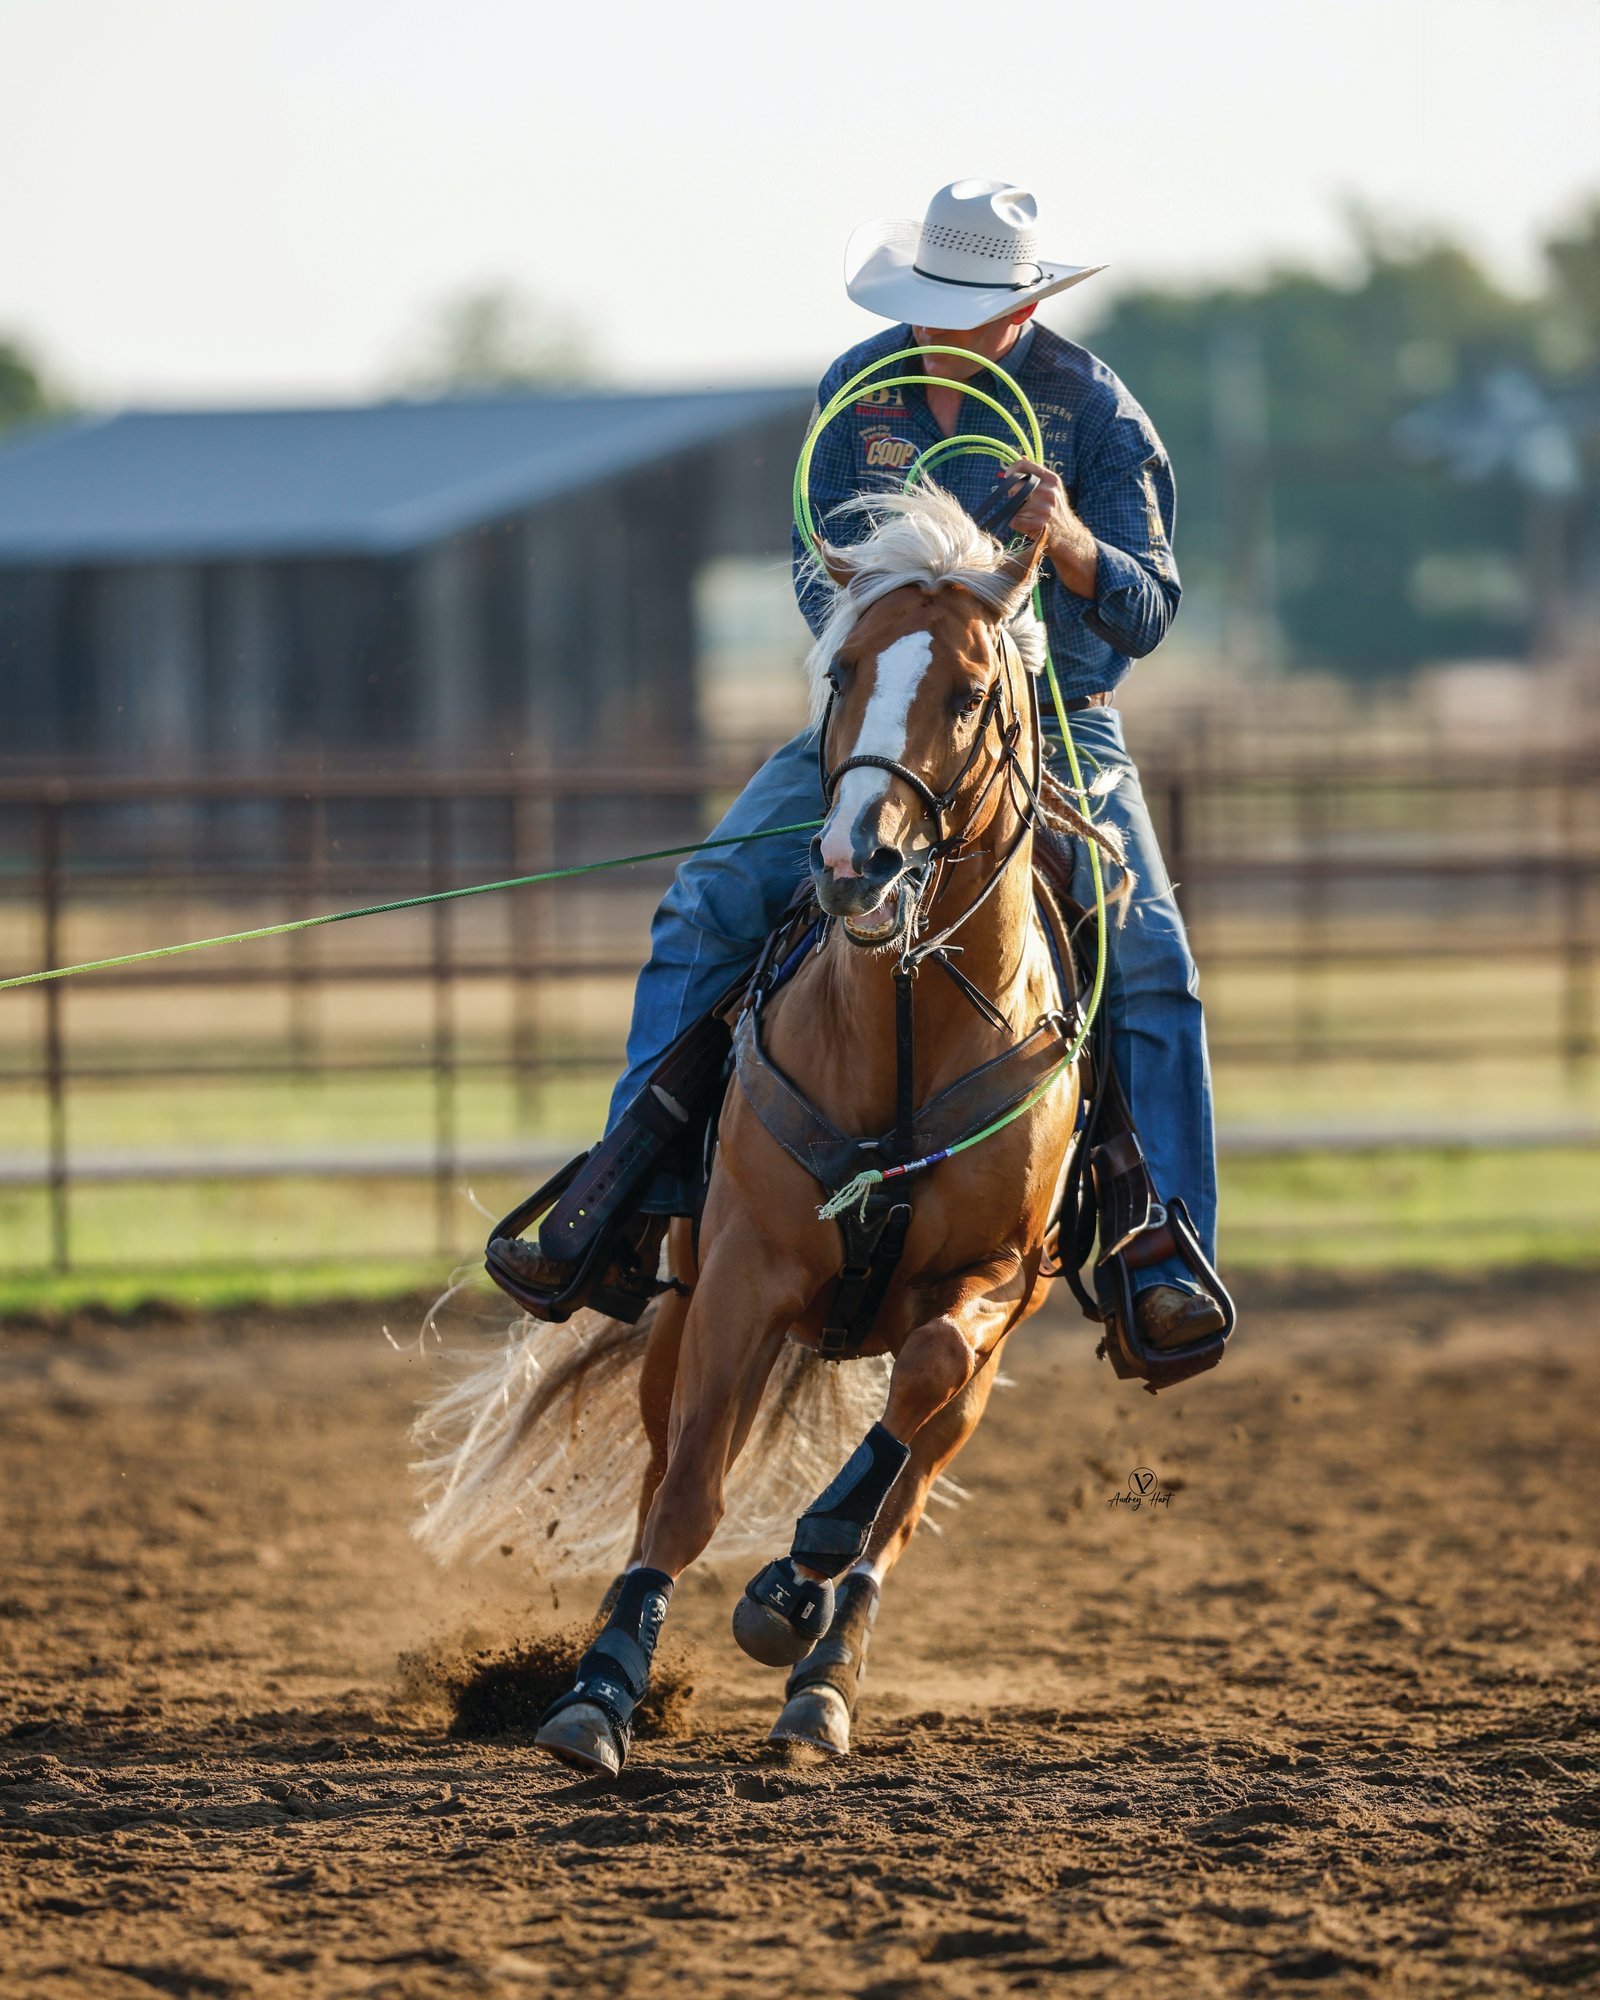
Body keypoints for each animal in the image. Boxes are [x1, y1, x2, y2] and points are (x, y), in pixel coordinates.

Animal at [417, 485, 1106, 1774]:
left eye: (970, 691)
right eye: (840, 670)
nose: (857, 859)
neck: (901, 1031)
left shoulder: (996, 1278)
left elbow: (913, 1398)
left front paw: (798, 1573)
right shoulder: (739, 1272)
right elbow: (688, 1489)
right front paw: (600, 1686)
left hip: (987, 1358)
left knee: (906, 1483)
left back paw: (821, 1671)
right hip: (683, 1313)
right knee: (668, 1465)